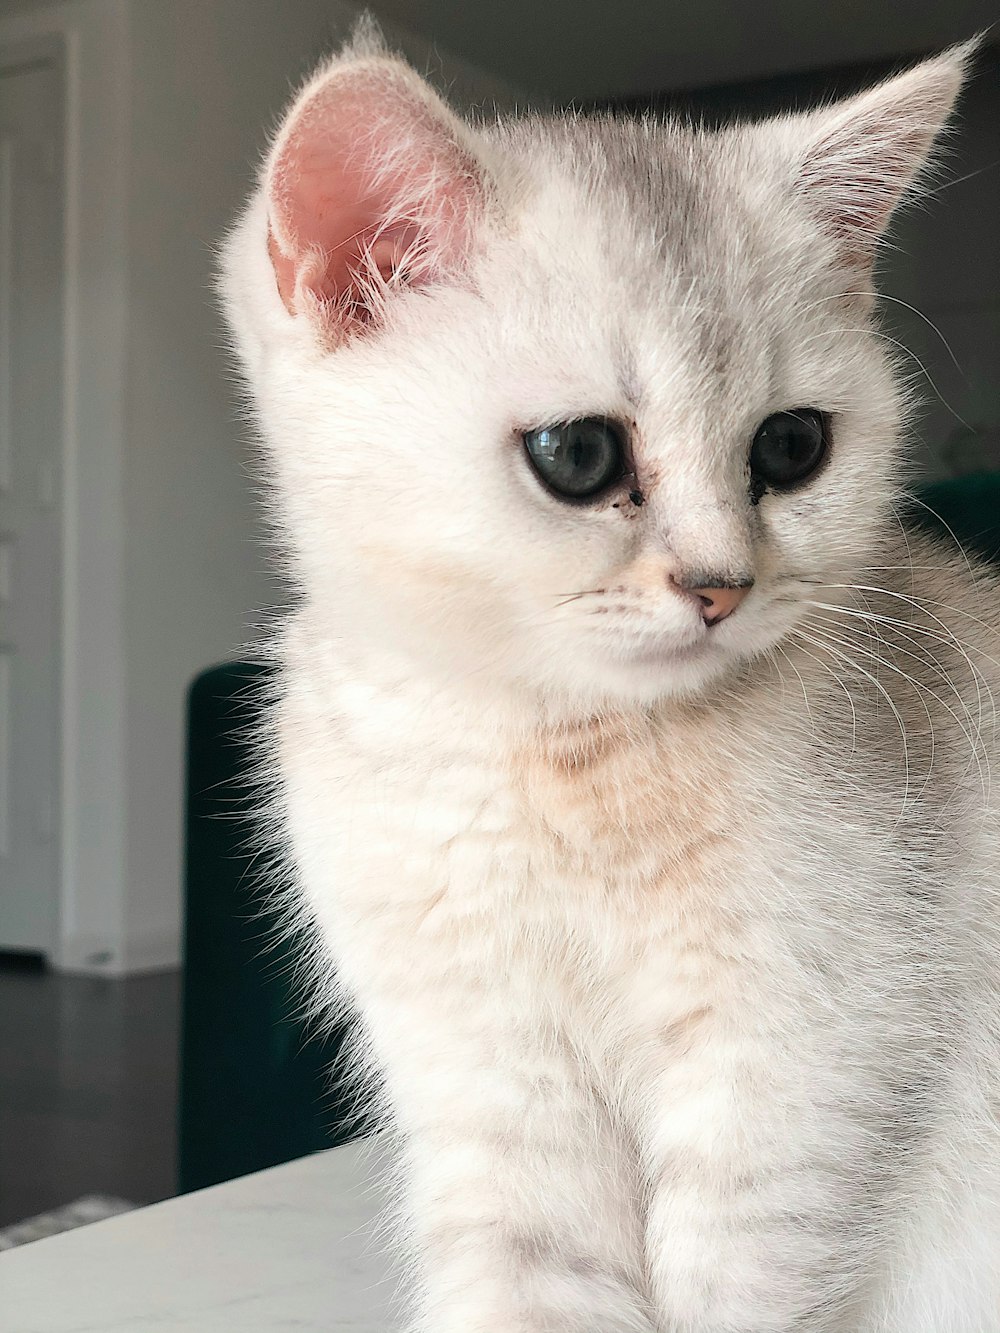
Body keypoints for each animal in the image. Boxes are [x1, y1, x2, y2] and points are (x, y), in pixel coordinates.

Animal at [221, 23, 1000, 1333]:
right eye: (578, 456)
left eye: (792, 446)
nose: (721, 585)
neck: (556, 755)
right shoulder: (491, 1084)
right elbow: (527, 1284)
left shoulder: (796, 1082)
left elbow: (731, 1289)